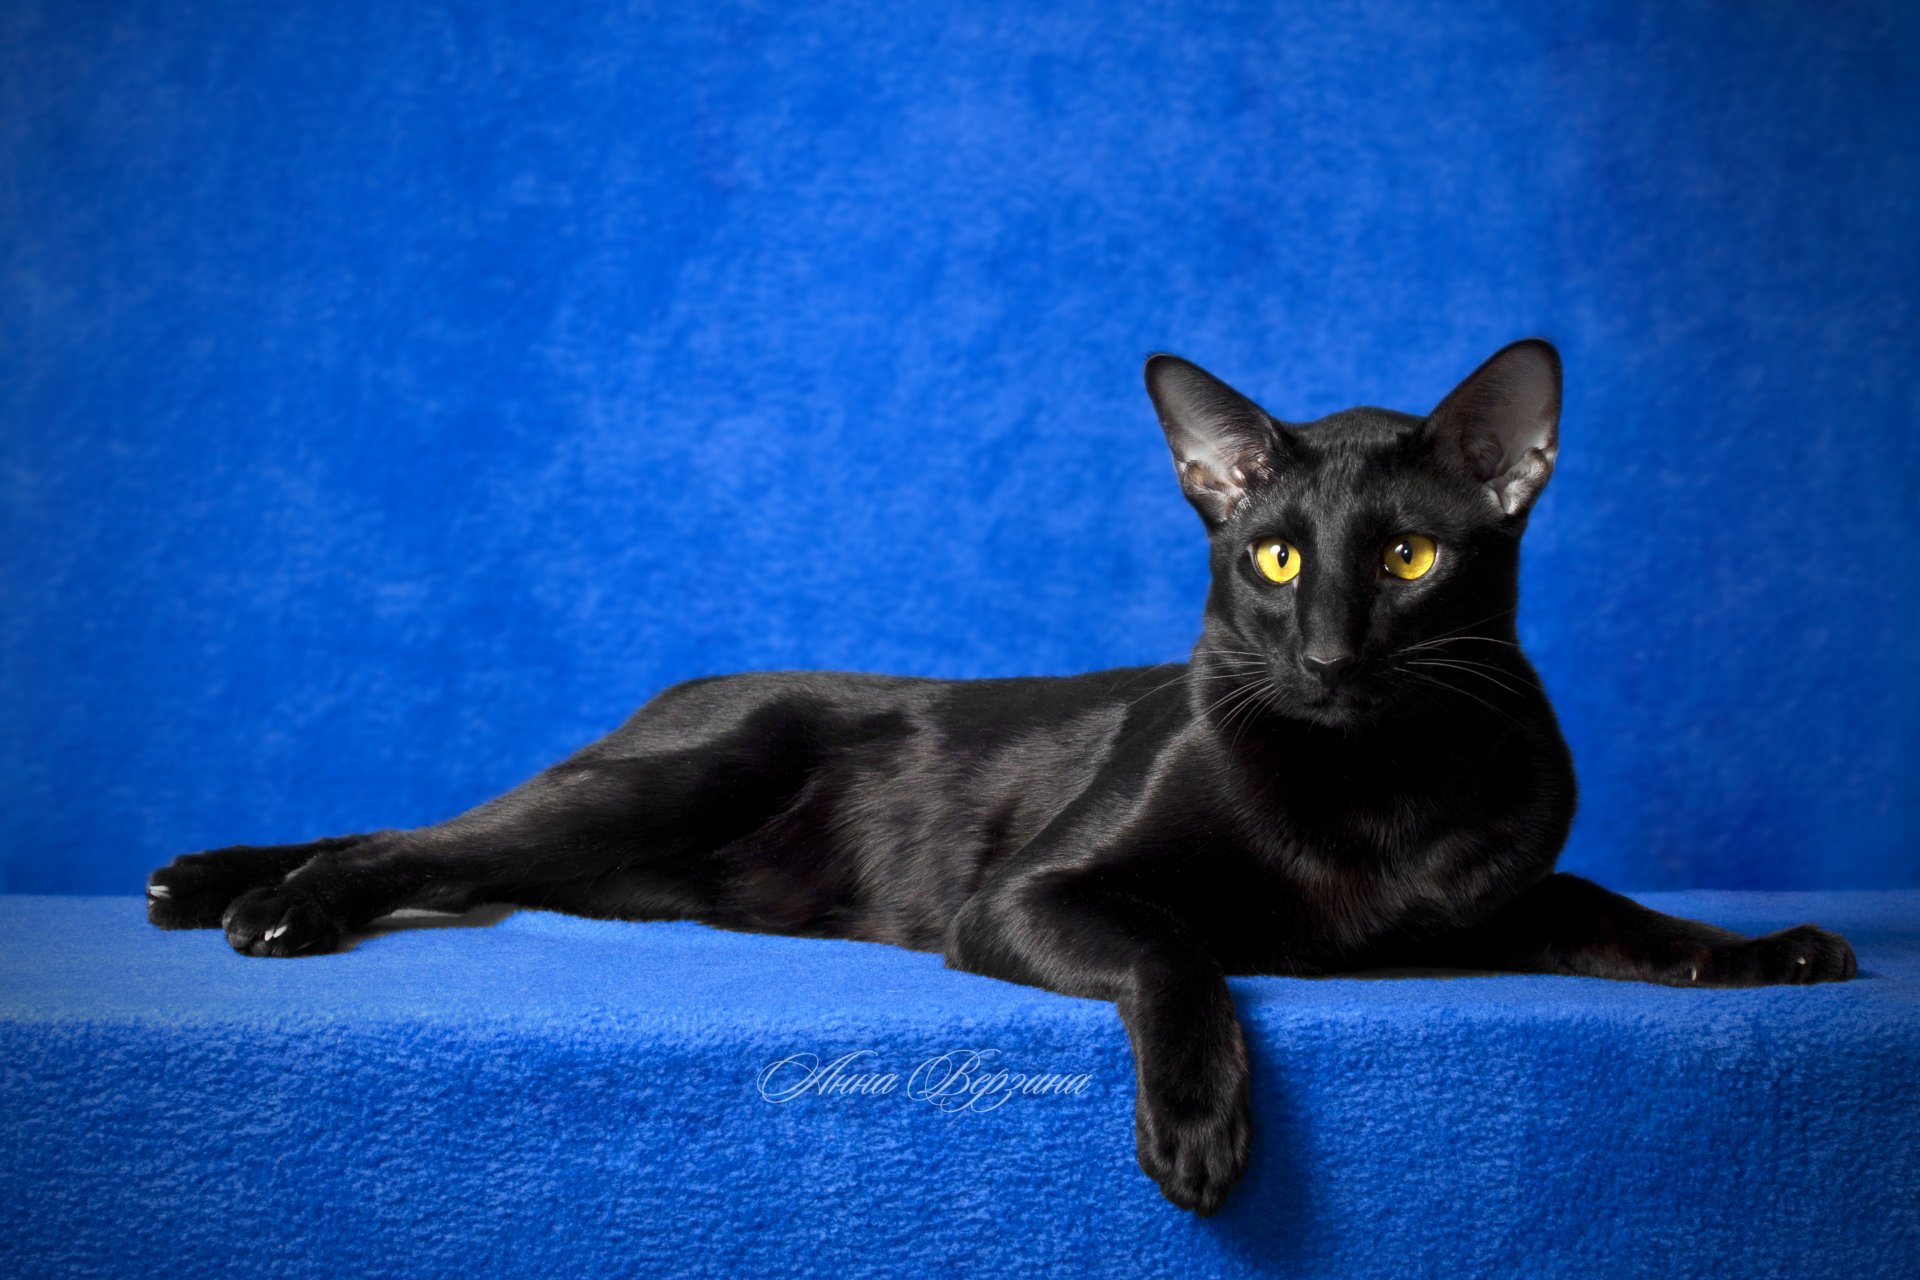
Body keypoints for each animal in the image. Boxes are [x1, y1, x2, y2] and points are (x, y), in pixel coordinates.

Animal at [145, 339, 1858, 1212]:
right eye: (1275, 557)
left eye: (1411, 561)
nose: (1322, 651)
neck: (1368, 788)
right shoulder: (1029, 896)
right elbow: (1178, 949)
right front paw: (1201, 1132)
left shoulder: (1494, 906)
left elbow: (1619, 911)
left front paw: (1764, 952)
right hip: (652, 789)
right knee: (424, 839)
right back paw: (271, 905)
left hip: (618, 858)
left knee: (452, 842)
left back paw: (206, 880)